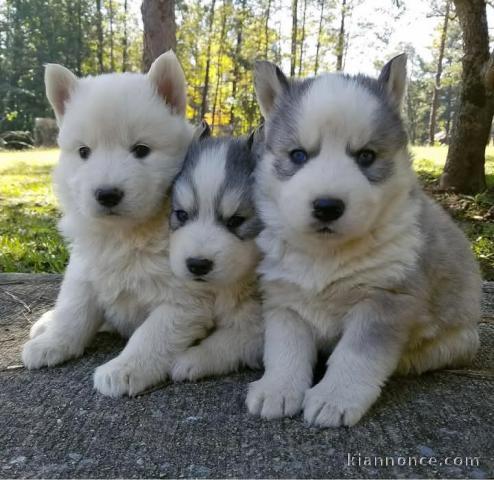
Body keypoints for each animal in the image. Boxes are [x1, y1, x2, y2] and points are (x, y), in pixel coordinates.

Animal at [21, 50, 211, 396]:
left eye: (141, 150)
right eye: (84, 151)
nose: (107, 194)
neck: (126, 233)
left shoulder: (188, 298)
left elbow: (153, 334)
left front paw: (125, 369)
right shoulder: (86, 267)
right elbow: (74, 308)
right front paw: (54, 342)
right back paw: (45, 325)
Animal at [247, 55, 482, 428]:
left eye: (366, 156)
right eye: (298, 156)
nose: (327, 206)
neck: (326, 256)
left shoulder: (385, 301)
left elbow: (355, 356)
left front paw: (335, 397)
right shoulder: (284, 301)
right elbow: (285, 350)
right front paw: (277, 389)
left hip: (461, 335)